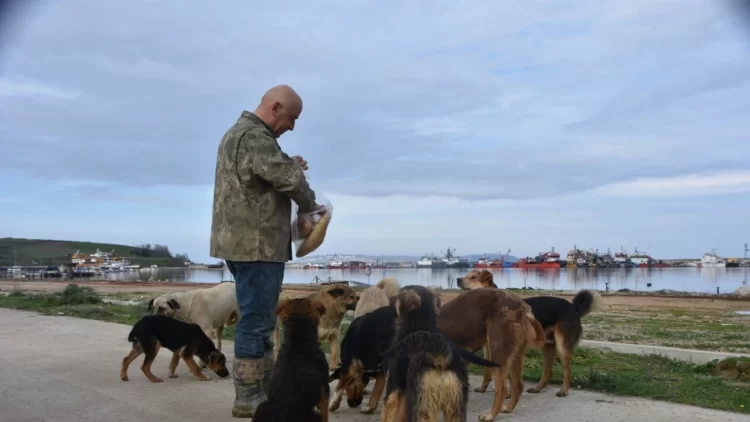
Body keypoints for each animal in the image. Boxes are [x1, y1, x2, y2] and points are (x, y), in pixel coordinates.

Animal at [434, 284, 548, 418]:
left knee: (502, 388)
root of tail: (522, 306)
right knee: (518, 385)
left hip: (497, 351)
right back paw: (508, 408)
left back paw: (490, 415)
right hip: (514, 355)